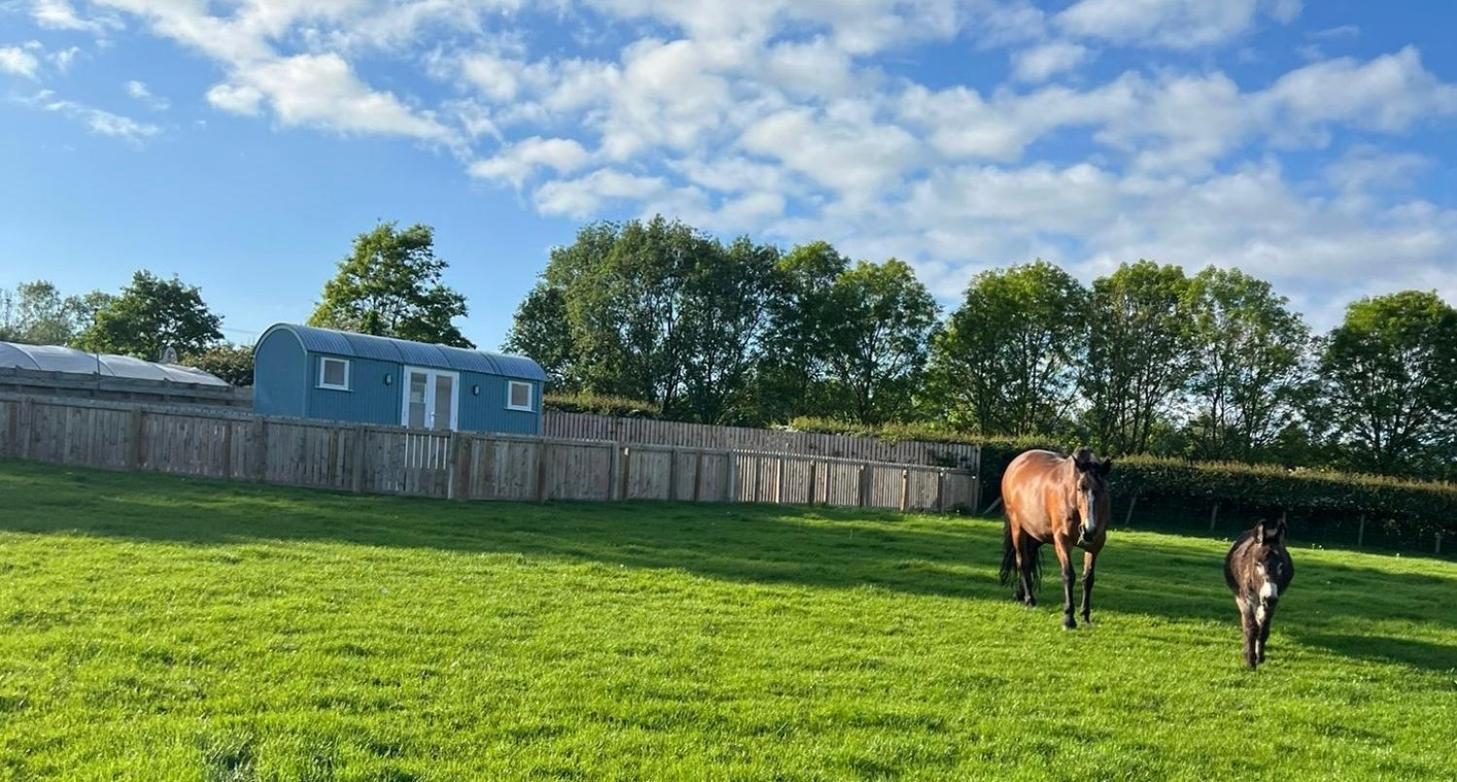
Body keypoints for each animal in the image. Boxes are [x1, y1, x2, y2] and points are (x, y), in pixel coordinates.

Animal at [1002, 445, 1113, 629]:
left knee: (1029, 558)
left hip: (1036, 535)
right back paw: (1029, 600)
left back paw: (1021, 594)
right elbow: (1068, 576)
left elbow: (1088, 579)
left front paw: (1085, 616)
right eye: (1080, 488)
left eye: (1103, 489)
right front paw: (1069, 619)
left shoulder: (1095, 545)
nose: (1089, 530)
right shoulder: (1062, 541)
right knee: (1022, 561)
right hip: (1018, 528)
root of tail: (1015, 464)